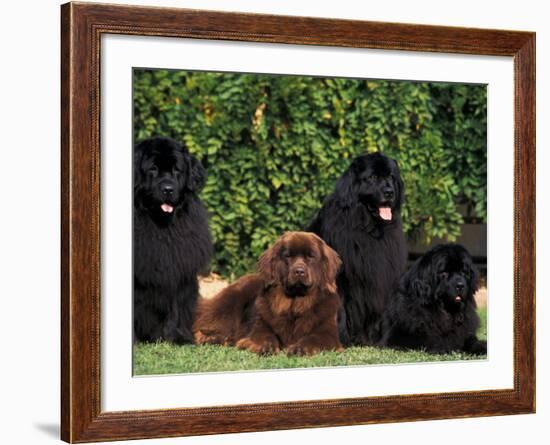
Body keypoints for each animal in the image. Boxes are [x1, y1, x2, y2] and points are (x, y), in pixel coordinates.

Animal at [134, 136, 213, 344]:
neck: (161, 226)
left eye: (177, 170)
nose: (168, 189)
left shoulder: (177, 269)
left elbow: (175, 307)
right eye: (152, 169)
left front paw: (176, 338)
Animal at [192, 232, 342, 354]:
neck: (295, 304)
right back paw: (209, 338)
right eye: (288, 256)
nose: (299, 271)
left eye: (311, 256)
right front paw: (265, 346)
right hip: (229, 304)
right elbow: (264, 335)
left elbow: (313, 339)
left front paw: (299, 349)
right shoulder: (261, 325)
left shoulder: (327, 332)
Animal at [310, 151, 410, 346]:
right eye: (372, 177)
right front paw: (339, 340)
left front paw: (373, 339)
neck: (368, 229)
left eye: (390, 176)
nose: (389, 192)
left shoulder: (377, 276)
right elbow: (340, 308)